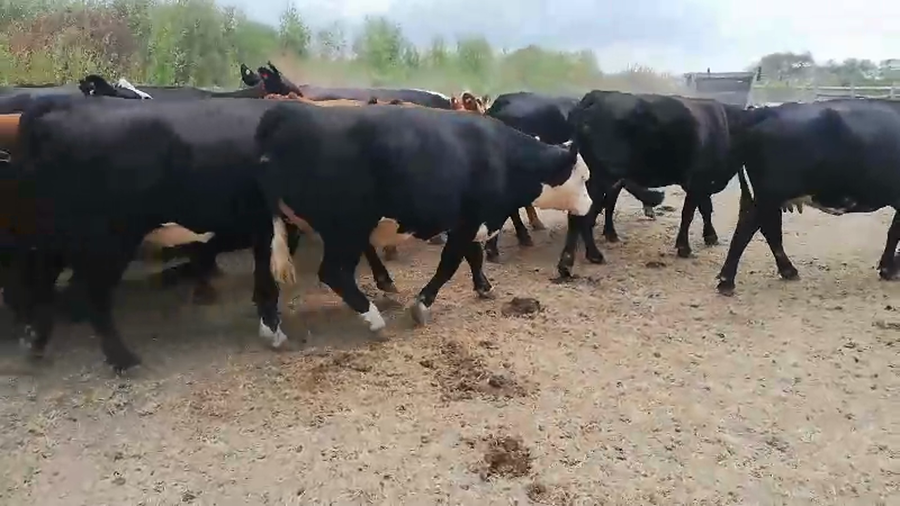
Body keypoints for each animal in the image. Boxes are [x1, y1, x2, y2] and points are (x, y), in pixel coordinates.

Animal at [254, 101, 593, 334]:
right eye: (584, 178)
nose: (590, 206)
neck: (501, 155)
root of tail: (284, 114)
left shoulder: (469, 220)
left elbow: (473, 256)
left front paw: (483, 286)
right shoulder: (467, 223)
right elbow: (449, 264)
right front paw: (422, 304)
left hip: (289, 225)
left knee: (266, 272)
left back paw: (271, 328)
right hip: (346, 231)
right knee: (333, 273)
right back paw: (373, 318)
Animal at [558, 90, 739, 278]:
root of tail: (596, 96)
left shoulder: (700, 184)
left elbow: (705, 208)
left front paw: (709, 236)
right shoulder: (699, 181)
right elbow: (691, 213)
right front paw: (687, 247)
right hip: (597, 178)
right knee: (581, 216)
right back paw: (584, 257)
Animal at [716, 99, 900, 295]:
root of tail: (765, 111)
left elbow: (894, 231)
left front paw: (888, 267)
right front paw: (891, 268)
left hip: (769, 197)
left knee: (768, 227)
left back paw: (787, 270)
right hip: (770, 193)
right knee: (749, 227)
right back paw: (727, 281)